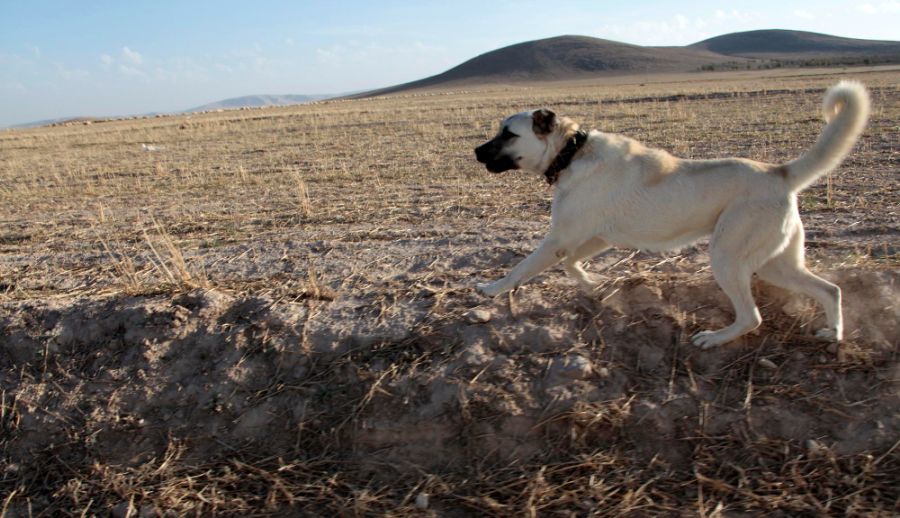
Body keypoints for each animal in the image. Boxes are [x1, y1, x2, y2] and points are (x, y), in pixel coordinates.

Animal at [474, 81, 868, 350]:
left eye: (508, 134)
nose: (476, 151)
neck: (571, 152)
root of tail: (779, 172)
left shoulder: (559, 238)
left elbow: (521, 268)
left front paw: (491, 289)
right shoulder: (597, 237)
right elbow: (572, 263)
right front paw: (595, 283)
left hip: (727, 258)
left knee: (752, 317)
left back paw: (713, 339)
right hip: (776, 264)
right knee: (830, 290)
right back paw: (834, 333)